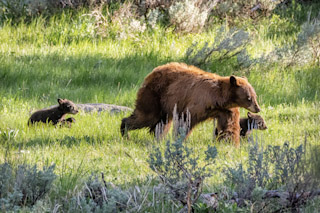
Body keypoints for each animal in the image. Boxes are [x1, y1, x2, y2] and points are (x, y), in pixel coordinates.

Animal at [120, 62, 260, 141]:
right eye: (249, 98)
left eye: (255, 96)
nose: (258, 108)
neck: (218, 99)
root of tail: (153, 71)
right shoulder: (198, 102)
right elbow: (186, 120)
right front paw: (180, 138)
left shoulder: (226, 110)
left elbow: (229, 126)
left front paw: (229, 142)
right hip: (154, 96)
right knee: (147, 116)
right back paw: (125, 131)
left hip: (164, 105)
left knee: (161, 122)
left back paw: (158, 138)